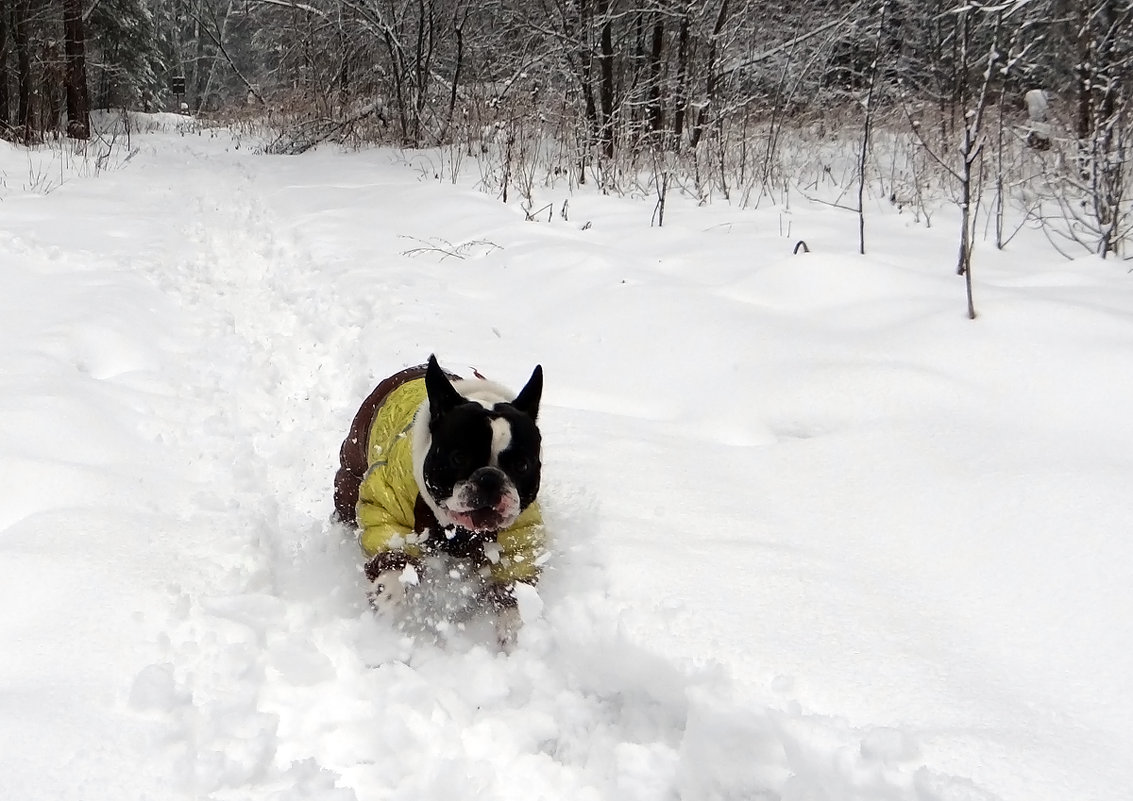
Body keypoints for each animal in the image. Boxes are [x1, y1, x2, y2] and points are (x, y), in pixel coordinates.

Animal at [330, 353, 543, 643]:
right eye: (458, 458)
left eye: (522, 465)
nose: (489, 478)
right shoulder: (388, 508)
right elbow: (394, 562)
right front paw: (386, 604)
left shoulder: (519, 537)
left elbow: (513, 582)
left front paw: (513, 631)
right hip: (350, 475)